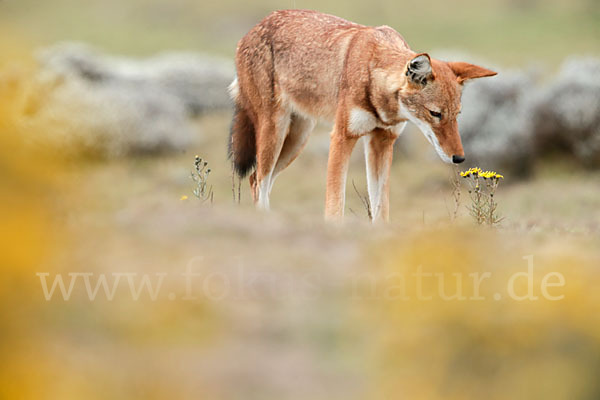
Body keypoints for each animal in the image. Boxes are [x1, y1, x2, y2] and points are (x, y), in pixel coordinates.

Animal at [227, 9, 494, 222]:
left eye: (457, 115)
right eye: (435, 114)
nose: (459, 158)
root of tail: (253, 28)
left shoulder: (382, 142)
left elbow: (380, 208)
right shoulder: (342, 138)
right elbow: (335, 205)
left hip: (296, 141)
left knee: (258, 180)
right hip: (275, 134)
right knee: (259, 181)